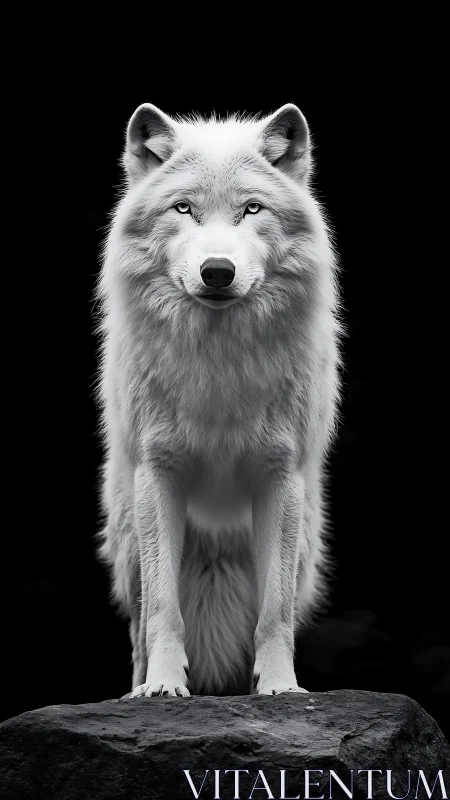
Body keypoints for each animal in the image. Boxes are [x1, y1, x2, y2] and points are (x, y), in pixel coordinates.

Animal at [96, 102, 342, 698]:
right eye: (183, 208)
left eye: (252, 209)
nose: (217, 271)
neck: (219, 365)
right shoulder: (159, 472)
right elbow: (164, 608)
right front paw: (162, 687)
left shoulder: (279, 476)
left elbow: (275, 612)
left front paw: (280, 689)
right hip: (130, 541)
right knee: (140, 624)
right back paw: (135, 689)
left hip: (302, 541)